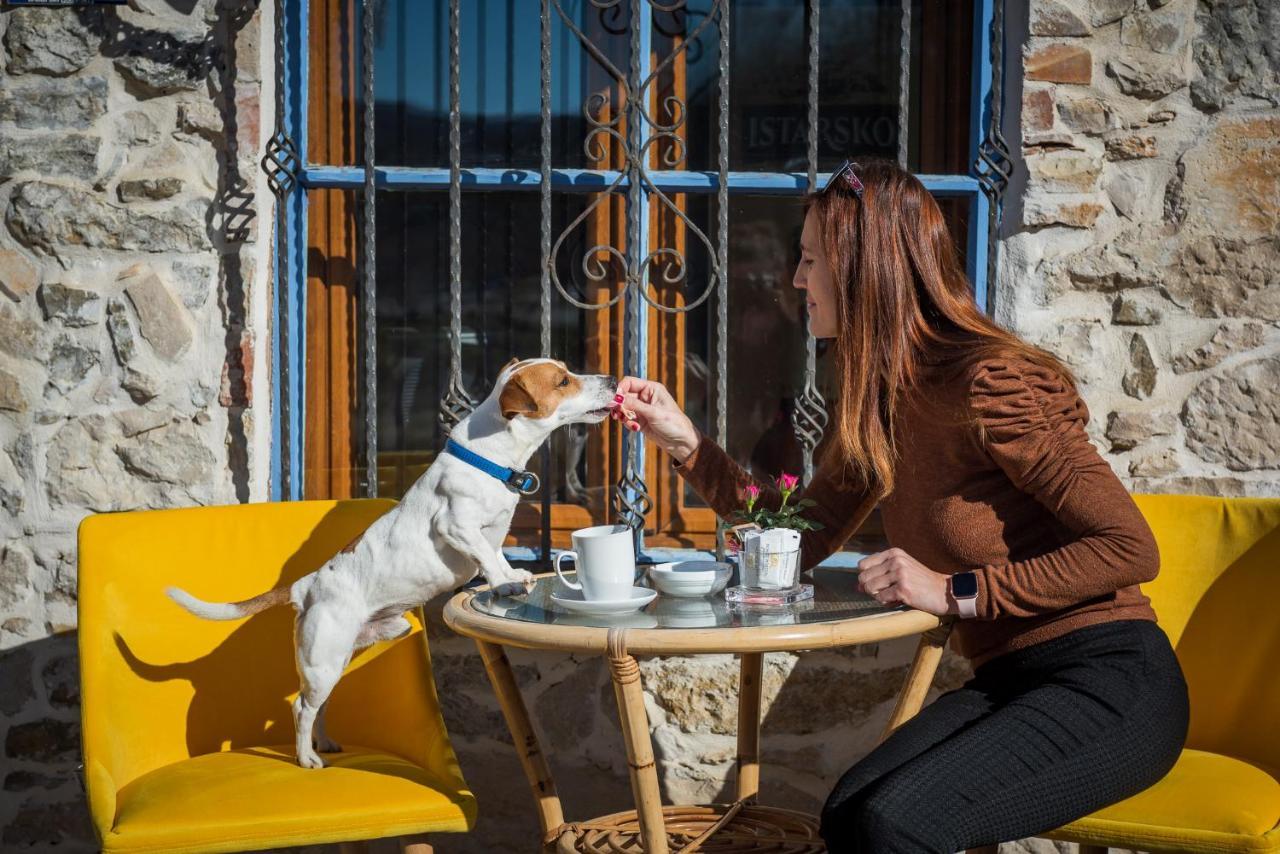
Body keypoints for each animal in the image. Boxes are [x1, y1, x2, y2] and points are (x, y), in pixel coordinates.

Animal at [167, 358, 616, 773]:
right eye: (563, 381)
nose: (612, 379)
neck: (490, 459)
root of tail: (306, 586)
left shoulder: (493, 532)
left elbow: (496, 555)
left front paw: (512, 576)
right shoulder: (456, 525)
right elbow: (487, 557)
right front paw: (505, 584)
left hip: (348, 653)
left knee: (320, 707)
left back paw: (323, 744)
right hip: (322, 660)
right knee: (301, 707)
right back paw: (306, 758)